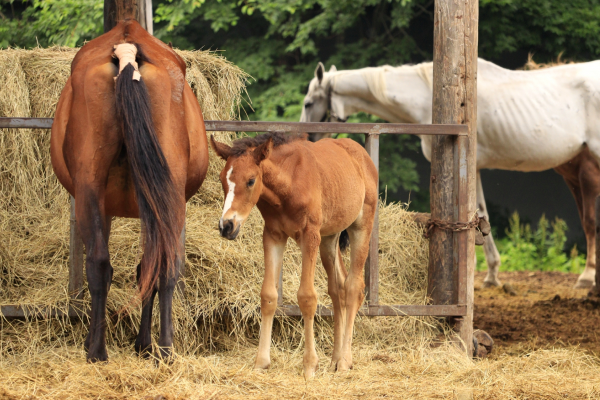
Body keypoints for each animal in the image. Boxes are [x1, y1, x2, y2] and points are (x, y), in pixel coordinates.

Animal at [52, 19, 211, 362]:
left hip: (90, 190)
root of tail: (127, 53)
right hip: (166, 197)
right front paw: (143, 343)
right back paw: (163, 348)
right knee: (161, 263)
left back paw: (100, 350)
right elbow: (146, 267)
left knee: (100, 263)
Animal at [212, 134, 376, 378]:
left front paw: (309, 365)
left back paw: (345, 360)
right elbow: (268, 296)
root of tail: (362, 155)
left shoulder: (310, 236)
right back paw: (335, 359)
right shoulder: (273, 236)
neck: (287, 185)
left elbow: (307, 297)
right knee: (338, 288)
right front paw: (261, 362)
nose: (227, 226)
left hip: (361, 226)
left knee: (354, 287)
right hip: (329, 238)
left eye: (251, 180)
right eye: (223, 179)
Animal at [302, 59, 600, 290]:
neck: (426, 97)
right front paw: (491, 274)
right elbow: (480, 214)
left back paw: (587, 277)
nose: (307, 139)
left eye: (308, 103)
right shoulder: (475, 168)